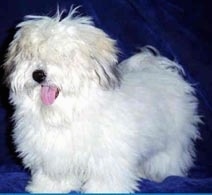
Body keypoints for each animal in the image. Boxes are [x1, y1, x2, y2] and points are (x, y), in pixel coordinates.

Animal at [4, 9, 200, 193]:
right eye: (31, 55)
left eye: (65, 55)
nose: (38, 74)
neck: (66, 116)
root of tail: (161, 69)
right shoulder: (52, 157)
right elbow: (55, 176)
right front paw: (48, 187)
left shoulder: (109, 157)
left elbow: (106, 178)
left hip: (173, 140)